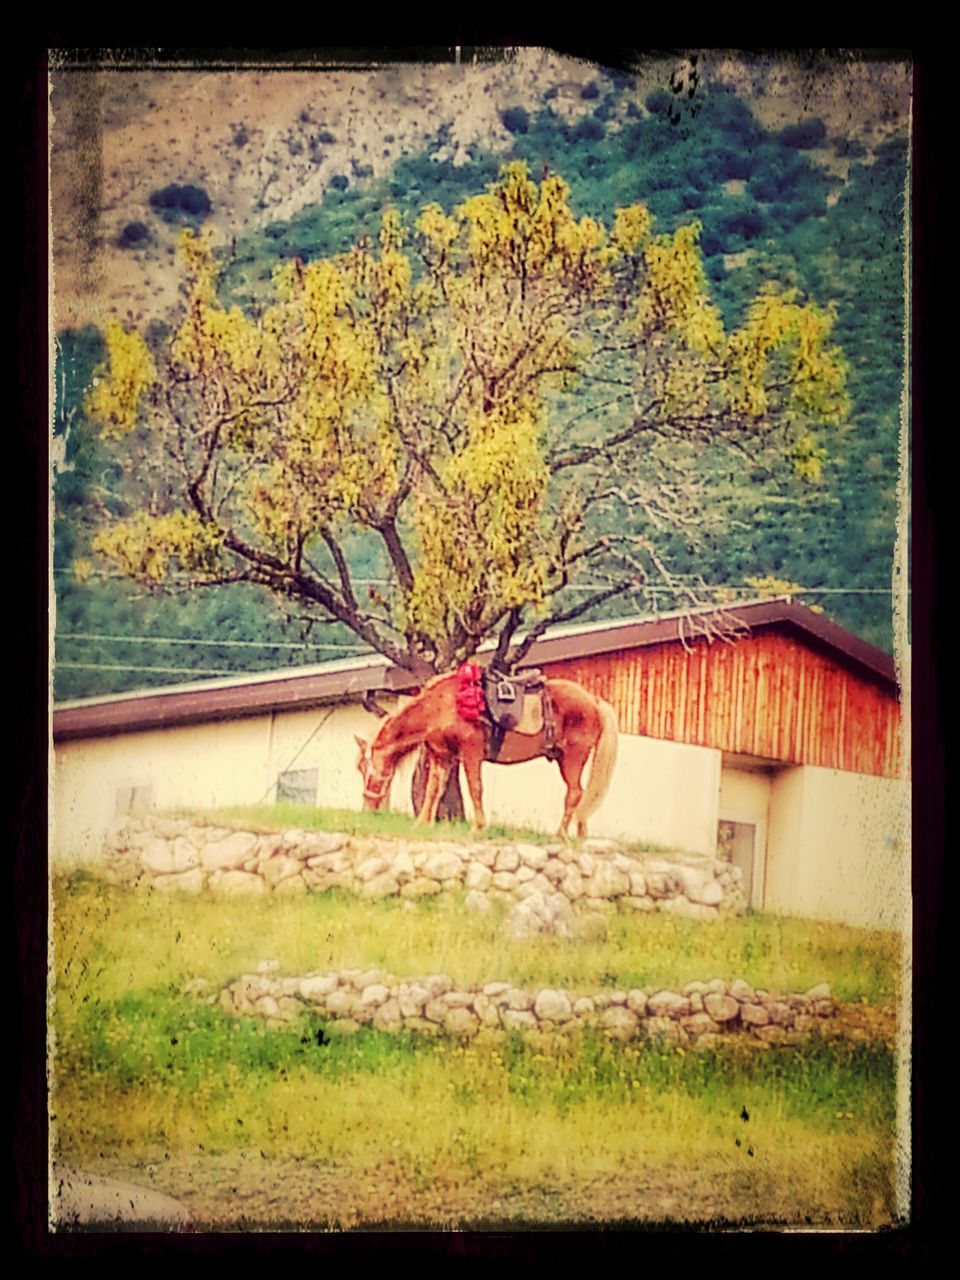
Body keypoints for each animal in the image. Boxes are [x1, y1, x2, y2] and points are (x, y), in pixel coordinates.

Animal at [358, 670, 619, 839]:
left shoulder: (471, 753)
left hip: (573, 758)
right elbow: (433, 790)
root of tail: (594, 701)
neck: (442, 706)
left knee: (574, 794)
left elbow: (475, 788)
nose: (367, 807)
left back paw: (561, 835)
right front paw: (422, 824)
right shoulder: (441, 756)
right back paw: (579, 836)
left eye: (368, 768)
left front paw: (479, 827)